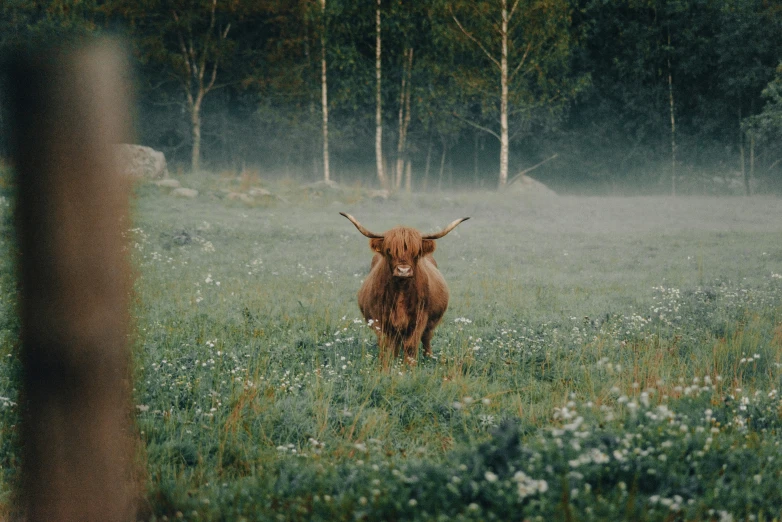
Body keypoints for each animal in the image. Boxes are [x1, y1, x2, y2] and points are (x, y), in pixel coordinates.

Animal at [338, 209, 468, 364]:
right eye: (389, 250)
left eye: (416, 253)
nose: (403, 271)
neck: (401, 289)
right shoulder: (379, 319)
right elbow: (386, 345)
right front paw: (385, 365)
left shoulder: (420, 318)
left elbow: (411, 346)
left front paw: (408, 366)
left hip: (430, 324)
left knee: (426, 338)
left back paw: (428, 358)